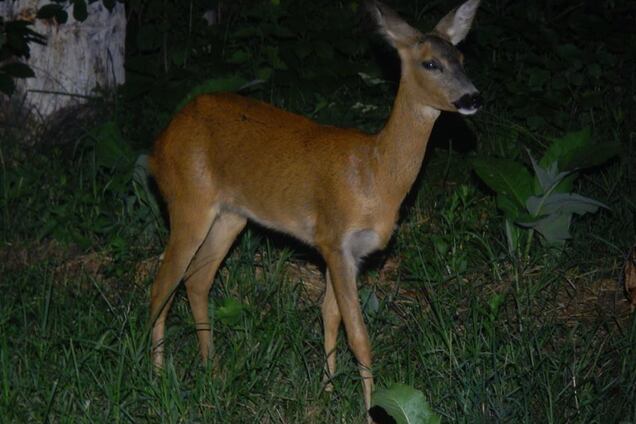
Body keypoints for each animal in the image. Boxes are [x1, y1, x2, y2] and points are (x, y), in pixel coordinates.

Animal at [148, 0, 482, 418]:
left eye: (462, 58)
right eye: (431, 63)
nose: (472, 98)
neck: (375, 174)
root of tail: (158, 146)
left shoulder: (349, 253)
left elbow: (330, 315)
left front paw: (327, 390)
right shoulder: (334, 239)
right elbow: (358, 334)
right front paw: (369, 411)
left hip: (231, 216)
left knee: (196, 278)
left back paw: (211, 366)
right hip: (188, 199)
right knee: (164, 279)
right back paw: (158, 375)